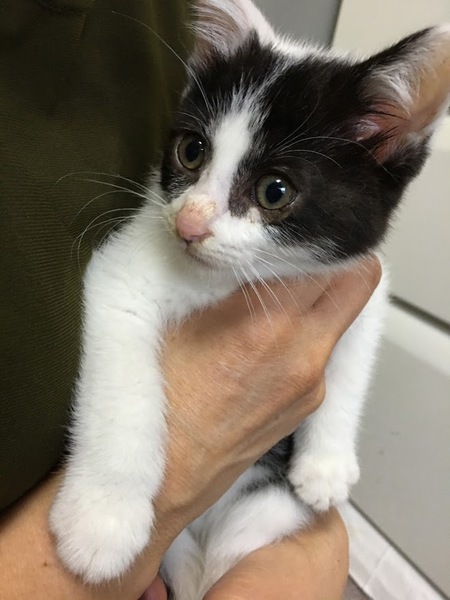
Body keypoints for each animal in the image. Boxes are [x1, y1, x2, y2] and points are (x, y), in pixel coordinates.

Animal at [49, 1, 450, 597]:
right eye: (191, 151)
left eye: (274, 191)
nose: (189, 225)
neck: (230, 282)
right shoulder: (119, 277)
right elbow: (124, 394)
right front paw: (102, 519)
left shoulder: (363, 281)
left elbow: (355, 360)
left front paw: (327, 465)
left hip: (263, 514)